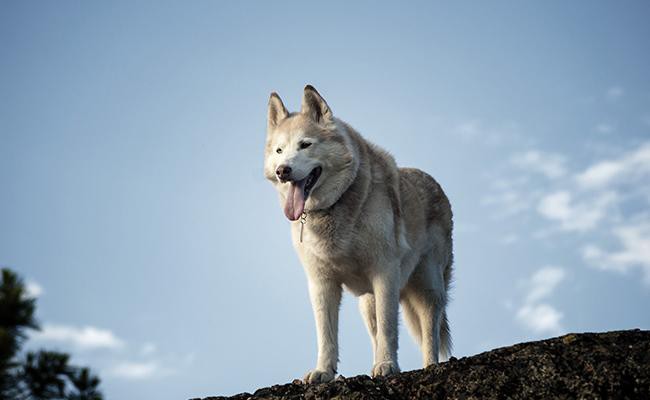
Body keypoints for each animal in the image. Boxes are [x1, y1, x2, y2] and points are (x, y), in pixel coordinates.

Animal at [262, 86, 450, 382]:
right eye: (280, 150)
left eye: (305, 144)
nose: (283, 171)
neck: (334, 207)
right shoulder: (321, 283)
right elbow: (326, 335)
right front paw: (323, 372)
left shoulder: (385, 272)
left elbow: (389, 327)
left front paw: (387, 365)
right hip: (367, 302)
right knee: (376, 332)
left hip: (427, 286)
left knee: (429, 331)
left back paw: (430, 367)